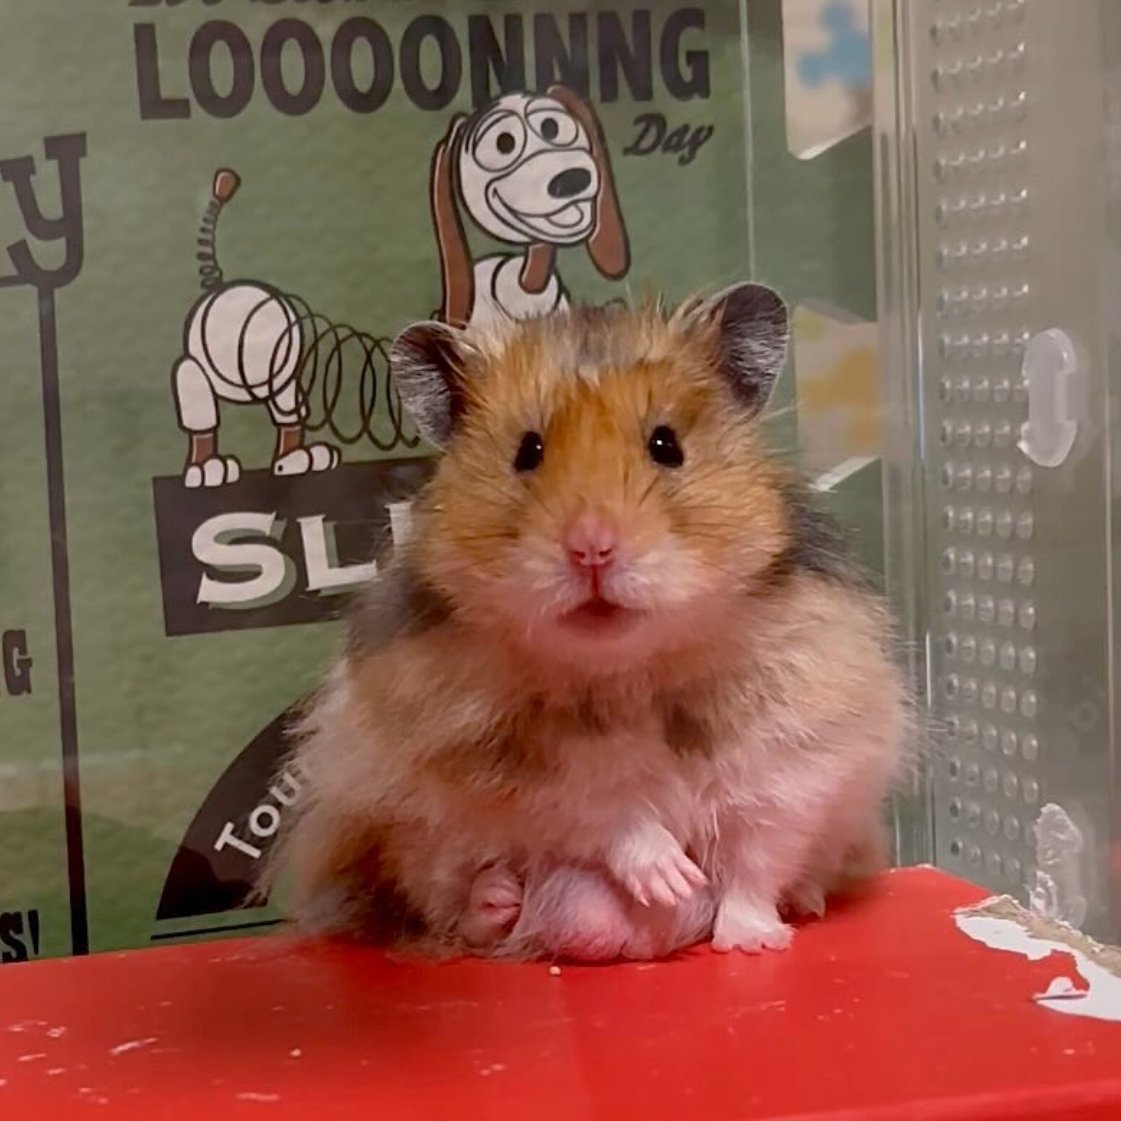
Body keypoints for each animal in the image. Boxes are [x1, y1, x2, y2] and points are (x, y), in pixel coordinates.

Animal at [264, 283, 908, 961]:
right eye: (528, 451)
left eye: (666, 445)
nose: (592, 549)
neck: (624, 670)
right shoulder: (497, 764)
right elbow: (605, 809)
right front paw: (670, 878)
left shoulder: (791, 759)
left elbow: (753, 860)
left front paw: (751, 942)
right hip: (407, 837)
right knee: (451, 896)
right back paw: (505, 900)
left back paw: (792, 904)